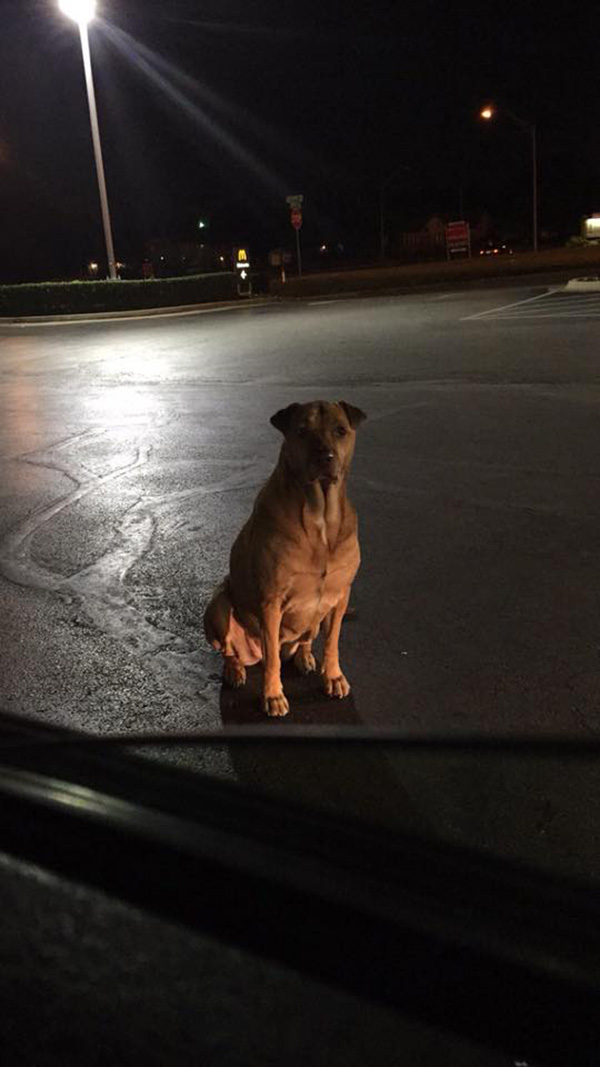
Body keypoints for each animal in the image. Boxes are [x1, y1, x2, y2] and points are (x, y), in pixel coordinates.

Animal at [201, 401, 365, 717]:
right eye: (301, 431)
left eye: (340, 430)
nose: (324, 456)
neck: (320, 515)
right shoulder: (271, 602)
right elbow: (273, 661)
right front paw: (273, 696)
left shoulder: (341, 595)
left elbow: (333, 642)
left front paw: (333, 676)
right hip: (218, 605)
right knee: (231, 650)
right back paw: (235, 670)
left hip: (315, 620)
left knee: (305, 639)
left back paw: (304, 657)